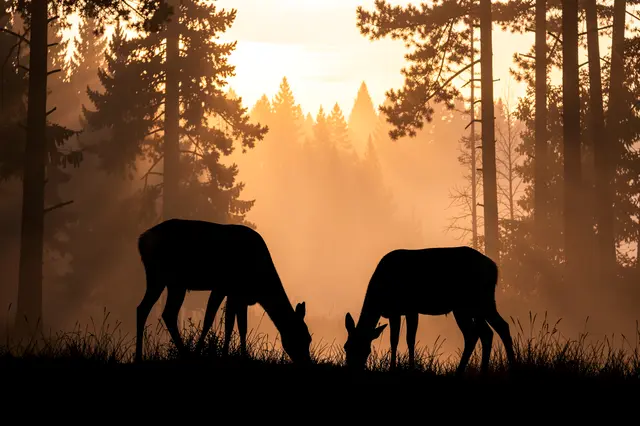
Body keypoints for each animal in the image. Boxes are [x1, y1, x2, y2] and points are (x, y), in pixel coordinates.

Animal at [135, 218, 312, 365]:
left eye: (309, 339)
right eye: (300, 338)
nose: (307, 362)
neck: (259, 284)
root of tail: (141, 241)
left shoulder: (239, 296)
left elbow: (239, 326)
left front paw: (240, 356)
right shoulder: (222, 288)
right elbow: (211, 321)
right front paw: (203, 353)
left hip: (171, 283)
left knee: (158, 311)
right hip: (161, 276)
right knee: (153, 310)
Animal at [343, 246, 516, 375]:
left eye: (365, 350)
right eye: (346, 347)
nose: (351, 370)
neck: (379, 295)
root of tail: (494, 268)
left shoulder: (409, 308)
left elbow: (407, 339)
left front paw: (406, 369)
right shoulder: (396, 312)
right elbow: (396, 339)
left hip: (473, 303)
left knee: (485, 331)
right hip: (472, 307)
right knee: (487, 331)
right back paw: (484, 371)